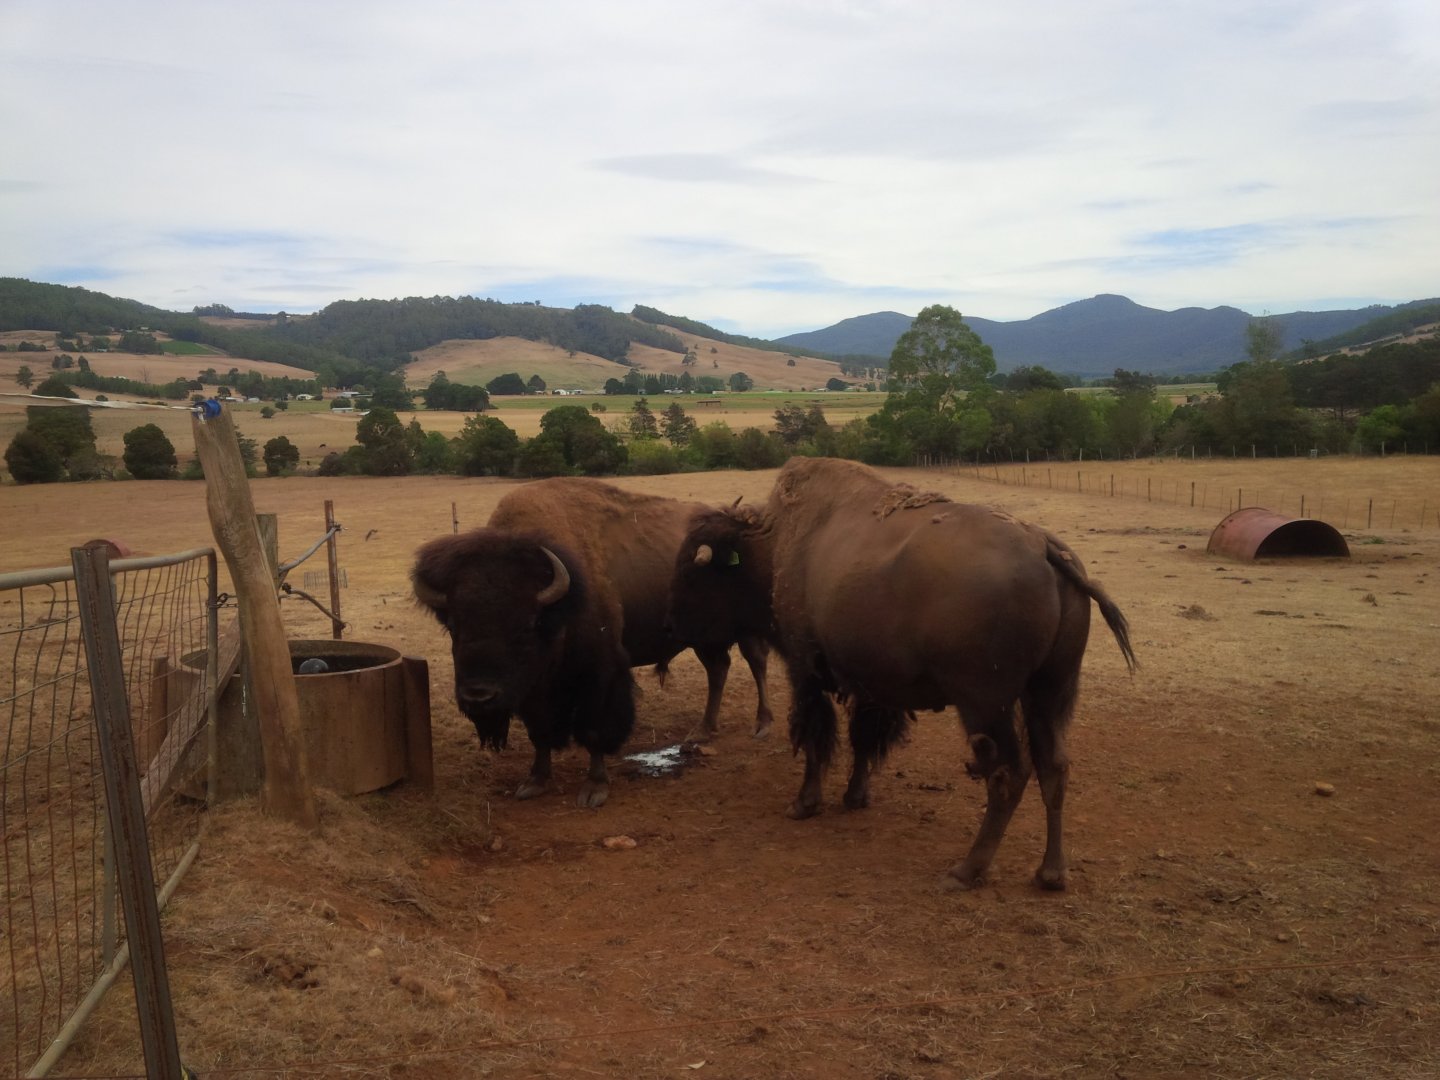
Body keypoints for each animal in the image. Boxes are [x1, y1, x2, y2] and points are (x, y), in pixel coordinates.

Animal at [412, 478, 772, 808]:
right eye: (453, 626)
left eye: (527, 625)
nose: (479, 697)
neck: (559, 605)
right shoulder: (532, 689)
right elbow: (539, 733)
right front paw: (535, 781)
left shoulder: (599, 676)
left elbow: (594, 730)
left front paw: (594, 789)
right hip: (701, 635)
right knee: (718, 669)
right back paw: (702, 731)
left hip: (745, 628)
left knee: (756, 662)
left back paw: (762, 725)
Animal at [669, 457, 1136, 889]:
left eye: (693, 573)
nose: (672, 616)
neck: (773, 545)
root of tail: (1043, 547)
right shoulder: (869, 683)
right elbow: (863, 736)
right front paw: (855, 796)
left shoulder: (806, 670)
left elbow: (817, 736)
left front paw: (803, 805)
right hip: (1049, 693)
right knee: (1054, 767)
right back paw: (1051, 874)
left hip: (986, 703)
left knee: (1007, 774)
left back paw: (965, 871)